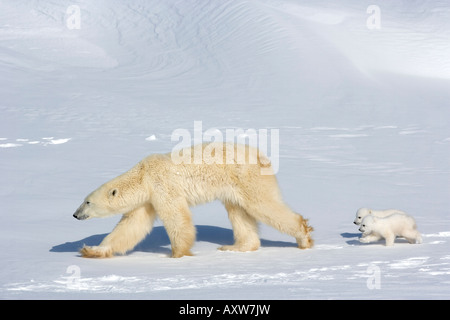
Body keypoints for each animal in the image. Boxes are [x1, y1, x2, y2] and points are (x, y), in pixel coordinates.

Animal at [73, 142, 312, 258]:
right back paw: (234, 247)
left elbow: (176, 216)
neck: (142, 176)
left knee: (262, 204)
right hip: (232, 188)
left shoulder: (162, 184)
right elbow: (130, 226)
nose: (75, 214)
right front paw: (92, 251)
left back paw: (303, 237)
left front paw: (178, 254)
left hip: (246, 177)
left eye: (87, 202)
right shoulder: (147, 200)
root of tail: (262, 157)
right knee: (239, 212)